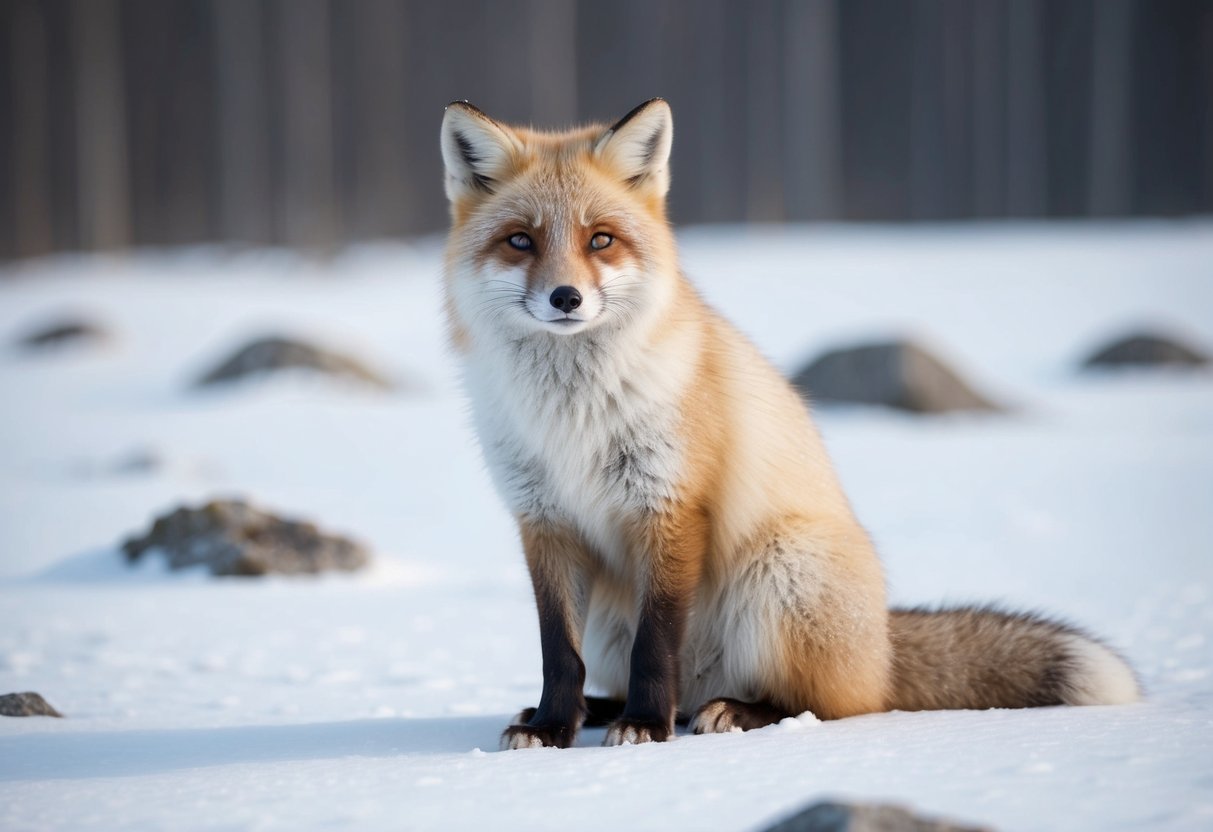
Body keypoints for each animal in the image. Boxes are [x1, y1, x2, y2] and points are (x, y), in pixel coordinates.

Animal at [438, 98, 1141, 749]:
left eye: (601, 239)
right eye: (521, 241)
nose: (566, 298)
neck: (572, 417)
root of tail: (882, 649)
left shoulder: (670, 506)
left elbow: (655, 645)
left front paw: (643, 726)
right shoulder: (544, 521)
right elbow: (559, 653)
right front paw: (553, 727)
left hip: (780, 571)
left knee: (819, 704)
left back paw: (727, 713)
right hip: (619, 617)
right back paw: (603, 710)